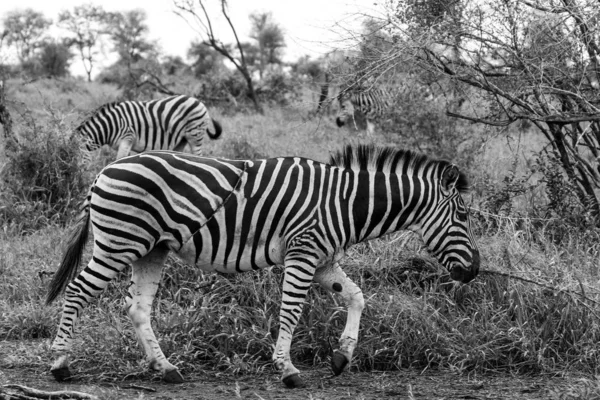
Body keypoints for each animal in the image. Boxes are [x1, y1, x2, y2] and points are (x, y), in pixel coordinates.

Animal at [45, 144, 478, 388]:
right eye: (463, 216)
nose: (473, 271)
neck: (343, 203)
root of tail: (104, 172)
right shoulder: (303, 253)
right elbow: (291, 311)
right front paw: (287, 369)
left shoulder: (323, 260)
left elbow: (357, 298)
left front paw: (342, 357)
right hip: (119, 241)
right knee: (78, 290)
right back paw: (60, 364)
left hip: (151, 249)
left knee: (137, 308)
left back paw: (165, 368)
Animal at [75, 94, 223, 161]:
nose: (78, 176)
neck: (110, 125)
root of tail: (198, 101)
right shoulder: (126, 143)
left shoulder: (127, 137)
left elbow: (118, 160)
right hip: (182, 139)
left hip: (195, 134)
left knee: (199, 156)